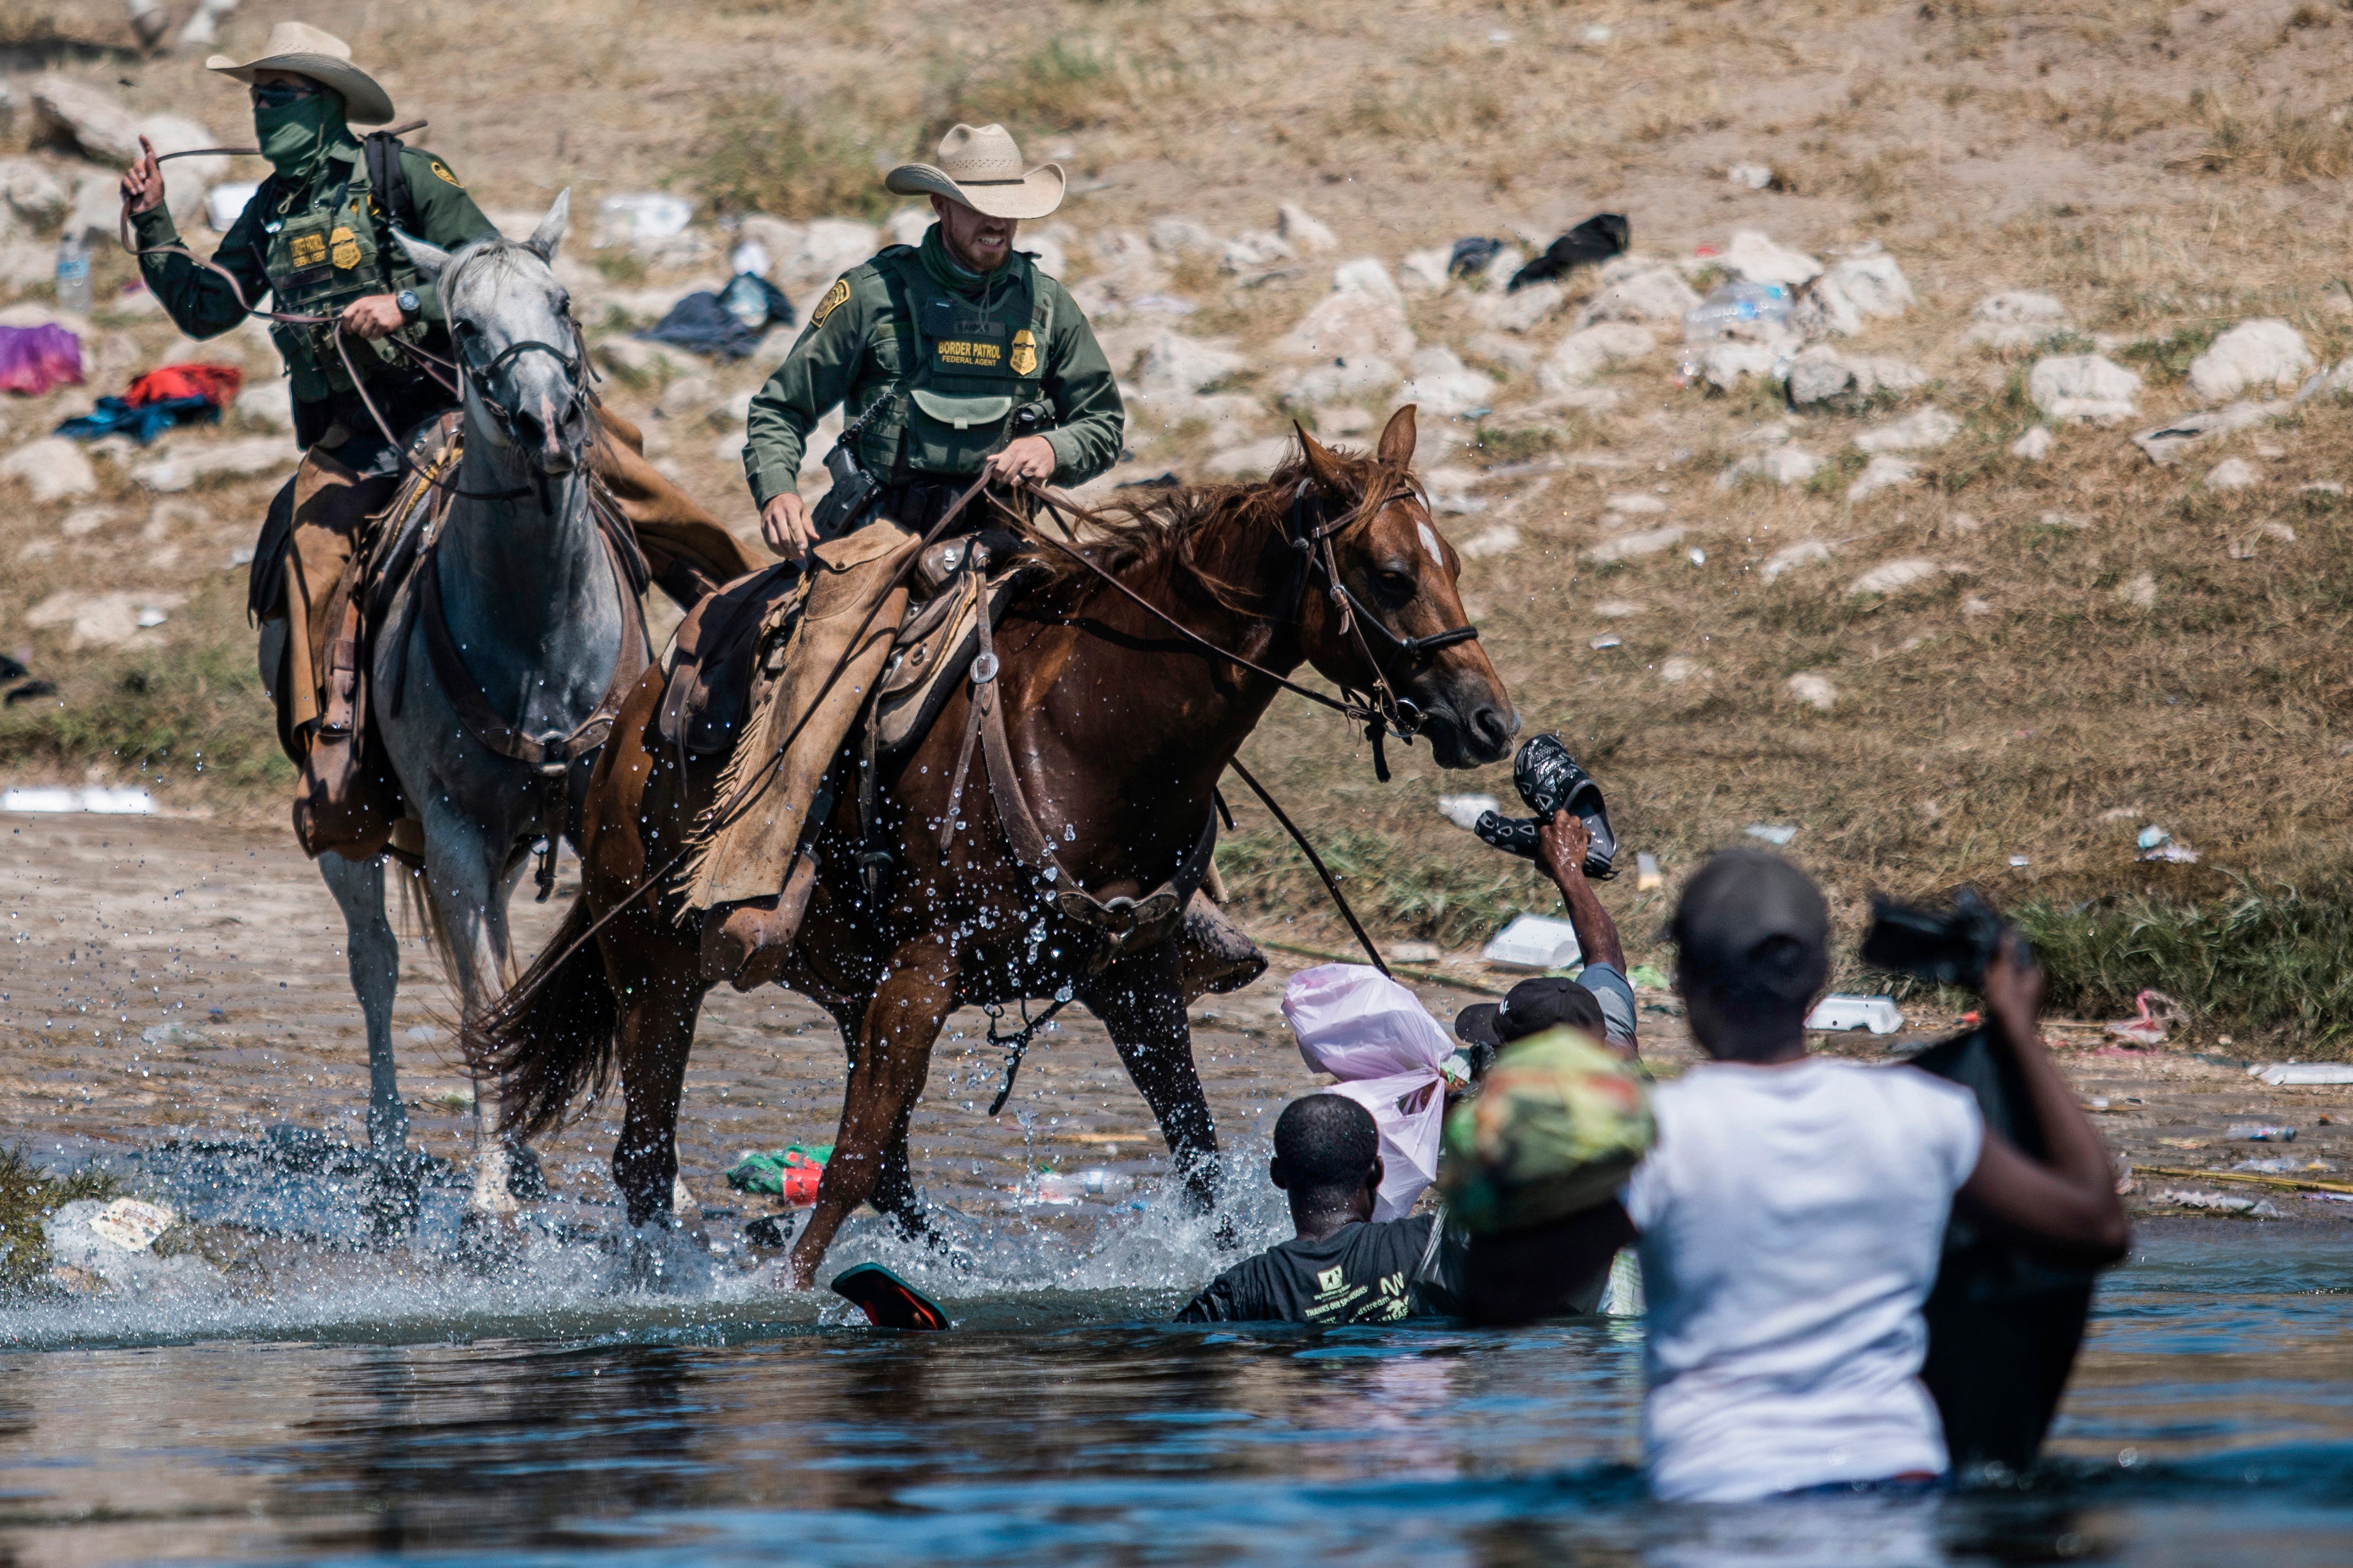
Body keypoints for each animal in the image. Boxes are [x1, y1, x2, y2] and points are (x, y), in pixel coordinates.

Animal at [319, 193, 644, 1222]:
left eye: (562, 300)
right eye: (464, 327)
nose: (548, 423)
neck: (538, 629)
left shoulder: (595, 816)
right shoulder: (455, 833)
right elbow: (475, 1004)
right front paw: (489, 1193)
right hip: (353, 831)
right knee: (377, 962)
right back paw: (393, 1152)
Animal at [477, 409, 1515, 1288]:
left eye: (1456, 565)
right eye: (1390, 575)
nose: (1490, 721)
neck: (1087, 733)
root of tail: (625, 727)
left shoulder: (1133, 982)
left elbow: (1198, 1153)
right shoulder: (923, 973)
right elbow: (849, 1159)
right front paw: (789, 1292)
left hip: (840, 982)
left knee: (882, 1168)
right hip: (654, 965)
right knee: (647, 1153)